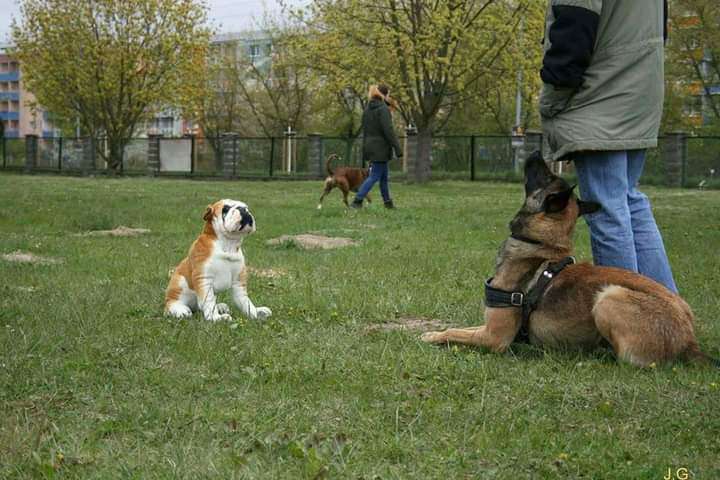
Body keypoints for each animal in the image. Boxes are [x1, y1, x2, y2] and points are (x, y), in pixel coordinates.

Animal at [422, 153, 716, 368]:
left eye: (548, 175)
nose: (536, 152)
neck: (541, 245)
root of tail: (689, 340)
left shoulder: (495, 337)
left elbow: (453, 332)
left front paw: (432, 336)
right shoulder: (487, 327)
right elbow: (459, 327)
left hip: (609, 297)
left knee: (633, 362)